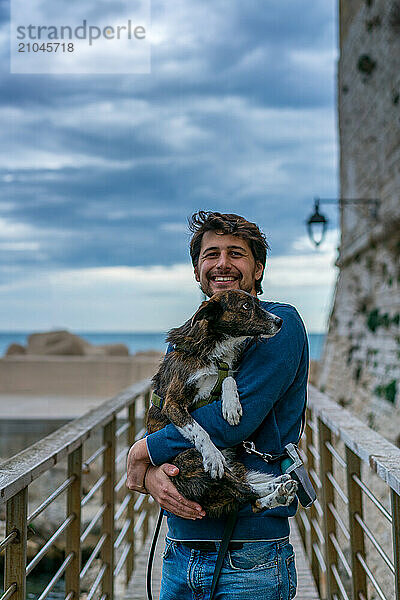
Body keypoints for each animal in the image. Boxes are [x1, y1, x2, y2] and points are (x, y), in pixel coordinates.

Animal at [147, 288, 296, 516]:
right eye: (246, 306)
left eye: (258, 303)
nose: (279, 321)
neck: (215, 348)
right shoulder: (172, 402)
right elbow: (198, 429)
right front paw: (212, 455)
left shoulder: (228, 371)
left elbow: (228, 378)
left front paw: (231, 406)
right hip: (191, 458)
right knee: (243, 491)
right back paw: (276, 488)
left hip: (232, 466)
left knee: (247, 495)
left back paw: (278, 487)